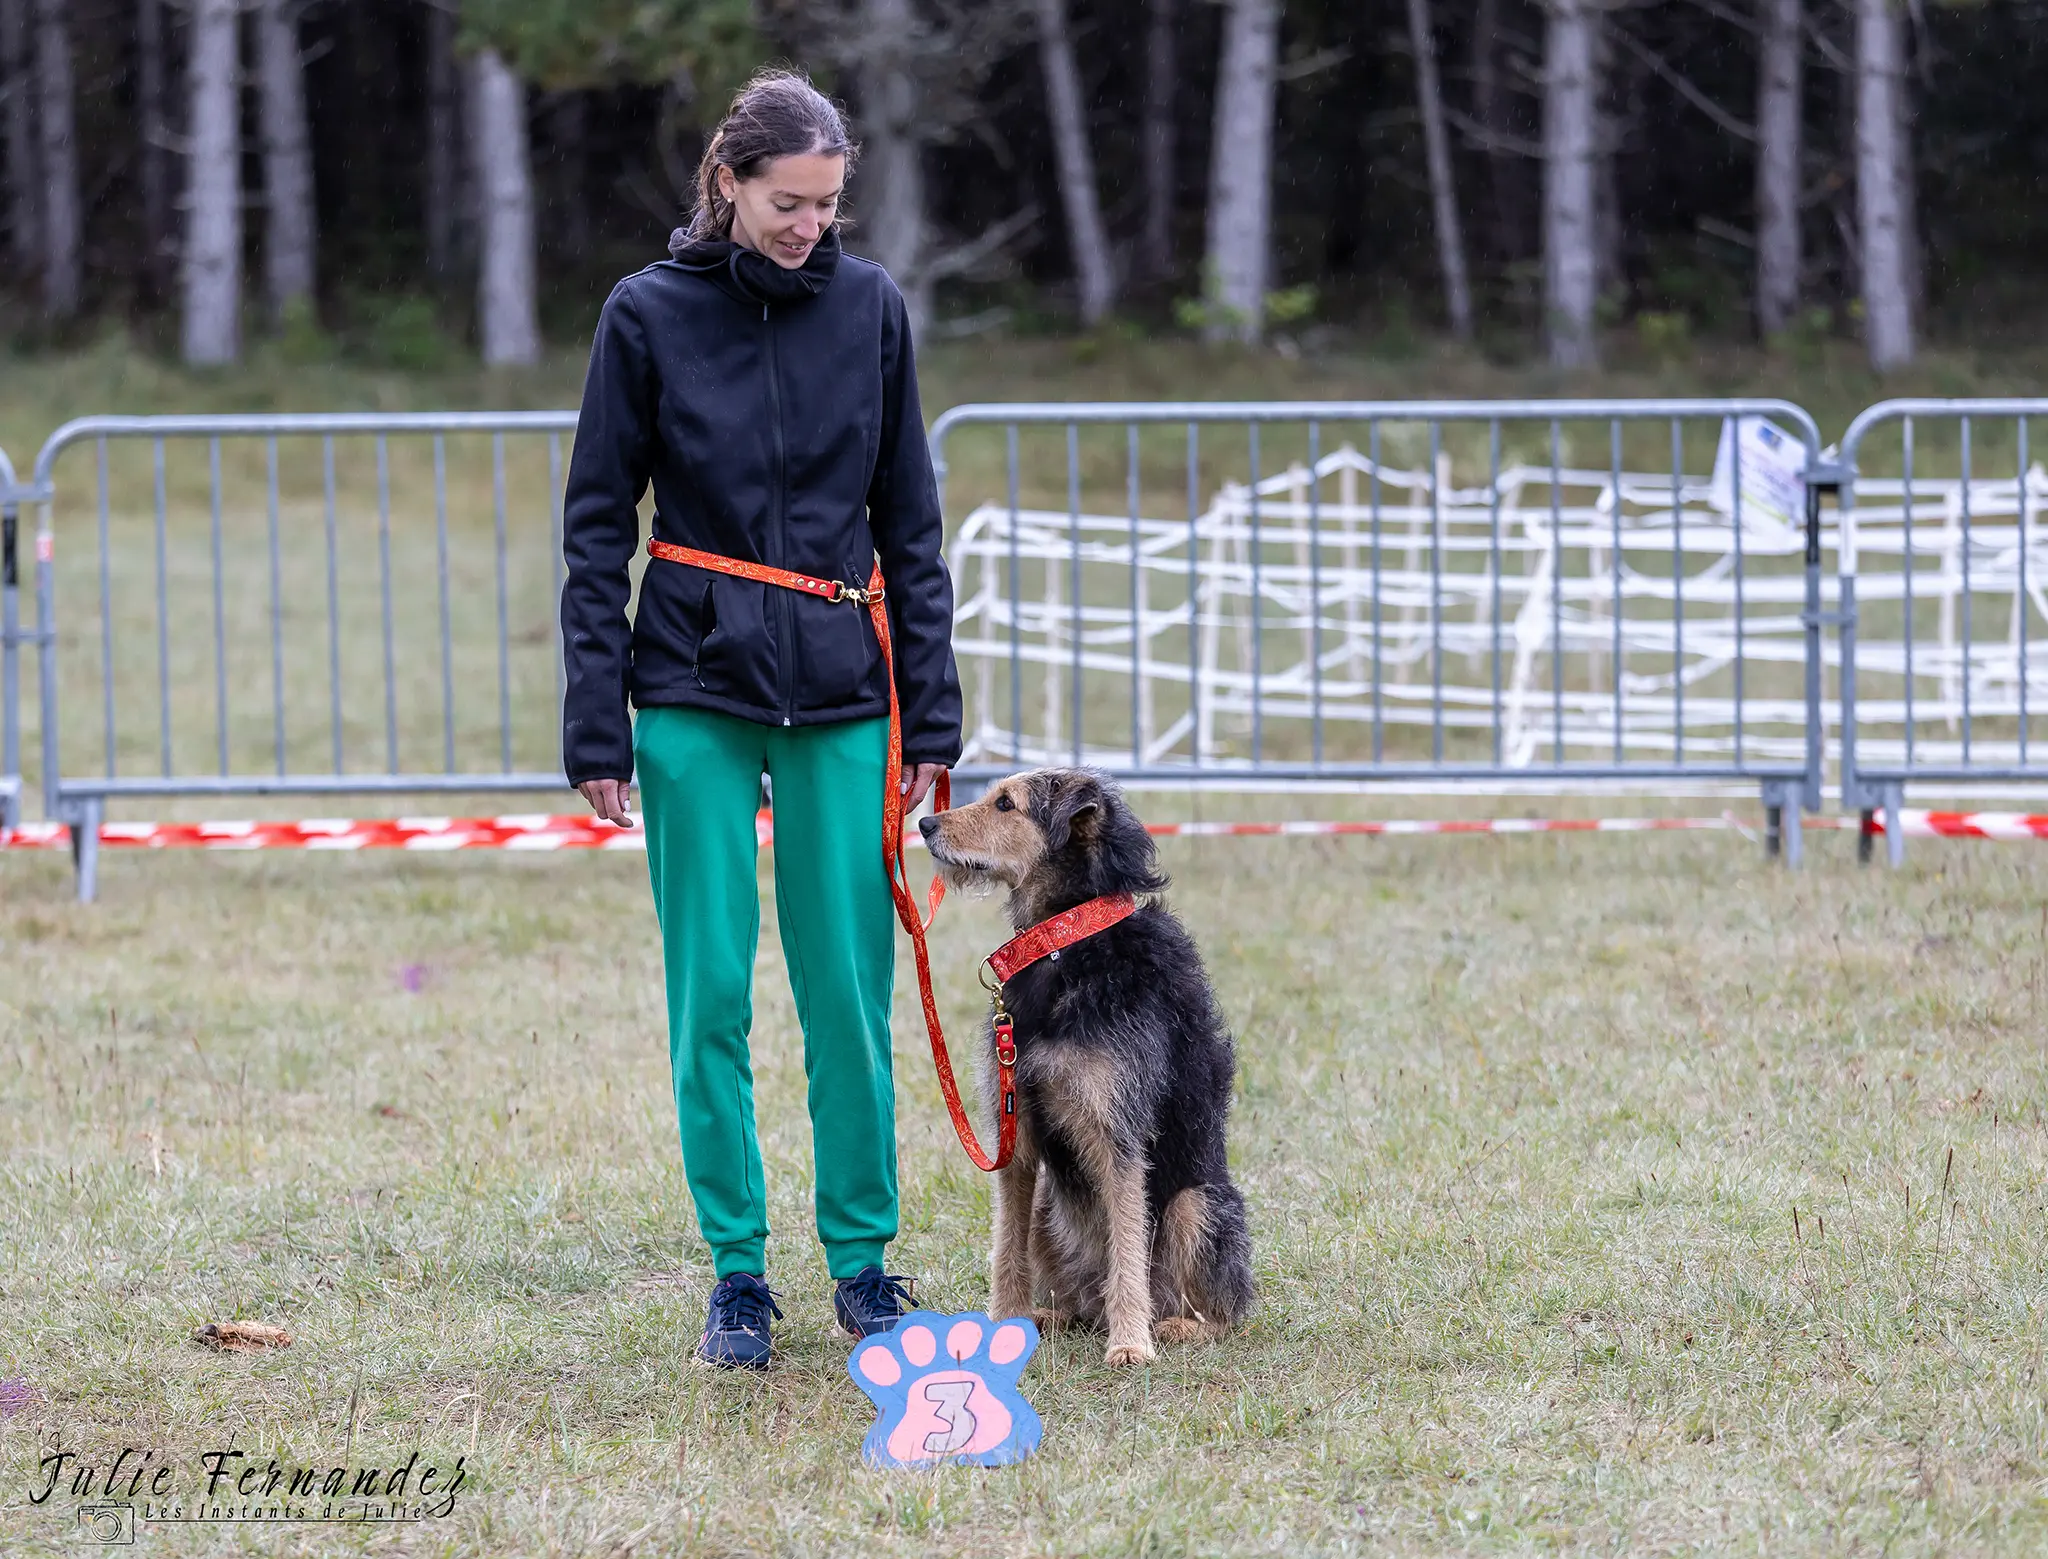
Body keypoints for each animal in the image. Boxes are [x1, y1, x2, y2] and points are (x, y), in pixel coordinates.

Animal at [921, 766, 1253, 1360]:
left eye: (1005, 804)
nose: (923, 824)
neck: (1067, 942)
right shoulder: (1015, 1129)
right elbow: (1006, 1246)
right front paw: (1000, 1326)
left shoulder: (1116, 1130)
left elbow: (1126, 1243)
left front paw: (1130, 1347)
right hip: (1049, 1211)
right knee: (1073, 1295)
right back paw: (1046, 1316)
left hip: (1196, 1205)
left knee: (1221, 1313)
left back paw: (1168, 1326)